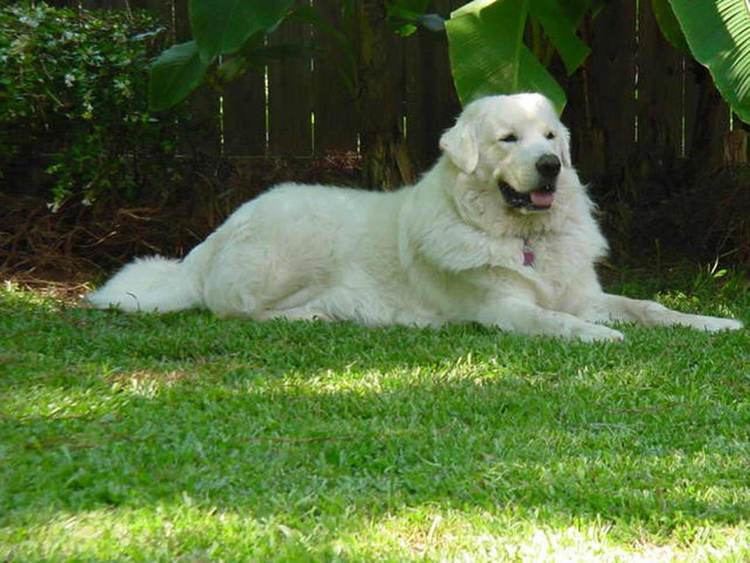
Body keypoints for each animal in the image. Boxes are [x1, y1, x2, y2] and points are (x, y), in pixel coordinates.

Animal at [88, 93, 748, 342]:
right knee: (234, 310)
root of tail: (211, 241)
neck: (523, 239)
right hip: (286, 251)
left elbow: (650, 307)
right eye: (508, 139)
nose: (550, 167)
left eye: (550, 137)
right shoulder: (502, 309)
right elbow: (552, 321)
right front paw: (599, 338)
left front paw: (712, 322)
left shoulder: (584, 292)